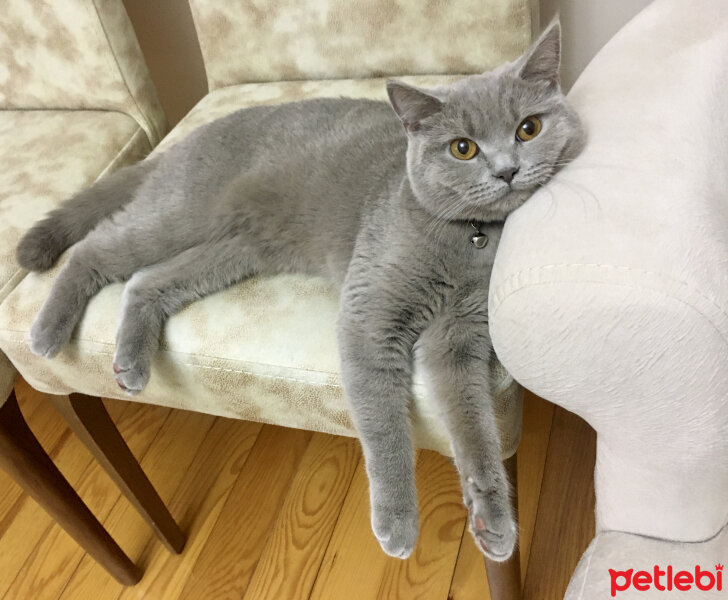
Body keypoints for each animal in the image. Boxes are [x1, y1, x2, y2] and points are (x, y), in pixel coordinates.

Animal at [17, 19, 584, 564]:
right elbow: (384, 427)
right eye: (462, 148)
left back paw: (129, 364)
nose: (507, 170)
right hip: (183, 214)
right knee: (93, 249)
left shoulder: (460, 336)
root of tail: (183, 140)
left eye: (529, 128)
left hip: (235, 249)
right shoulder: (370, 316)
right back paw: (46, 333)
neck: (471, 241)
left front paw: (493, 522)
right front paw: (397, 523)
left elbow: (474, 425)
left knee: (143, 282)